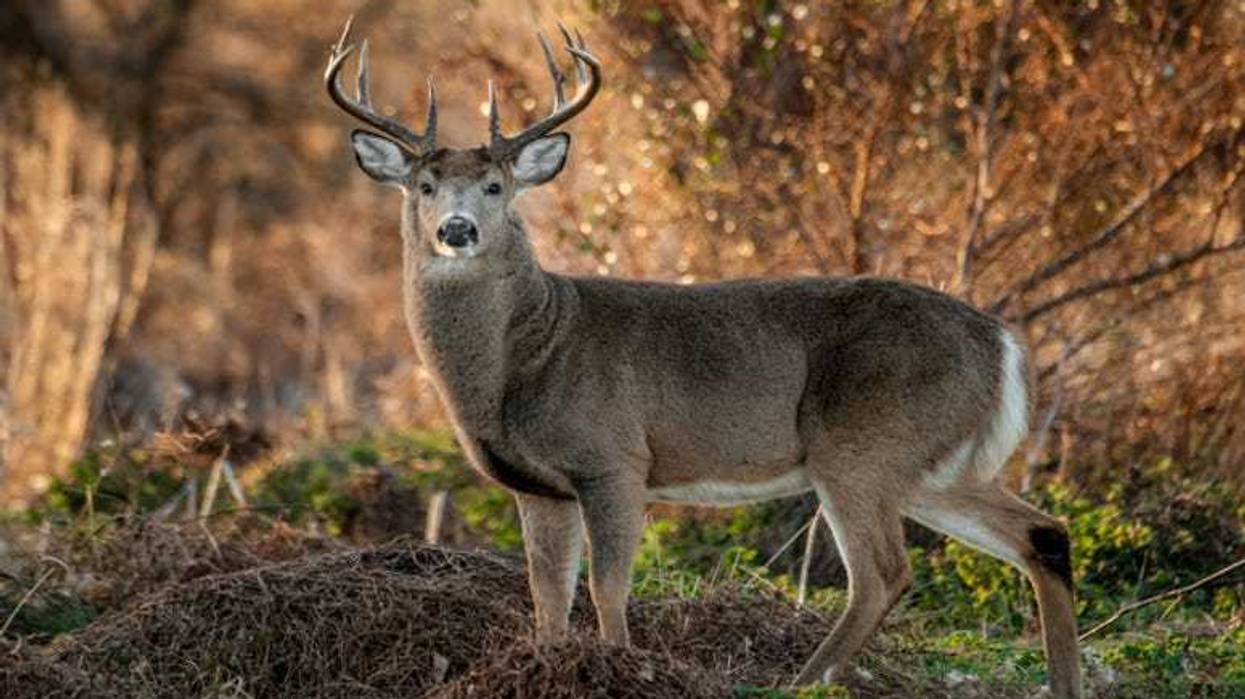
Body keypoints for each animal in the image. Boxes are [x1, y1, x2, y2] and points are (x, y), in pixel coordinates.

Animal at [324, 18, 1082, 699]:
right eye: (424, 186)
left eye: (495, 187)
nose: (457, 230)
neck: (524, 356)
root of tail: (1001, 340)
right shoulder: (537, 485)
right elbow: (546, 597)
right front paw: (547, 666)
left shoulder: (614, 458)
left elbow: (607, 587)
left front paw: (619, 668)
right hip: (933, 462)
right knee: (1043, 533)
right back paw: (1059, 682)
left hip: (861, 444)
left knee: (883, 572)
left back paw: (797, 683)